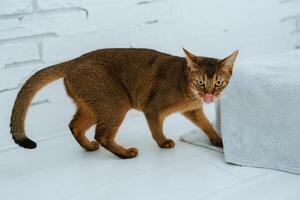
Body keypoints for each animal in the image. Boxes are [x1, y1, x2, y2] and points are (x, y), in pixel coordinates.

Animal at [10, 47, 238, 159]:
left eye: (218, 83)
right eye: (200, 82)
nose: (209, 94)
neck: (185, 84)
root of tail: (72, 62)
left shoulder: (194, 111)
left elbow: (206, 125)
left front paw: (218, 140)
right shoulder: (152, 108)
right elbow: (156, 129)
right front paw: (163, 142)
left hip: (94, 107)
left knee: (75, 126)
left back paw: (89, 147)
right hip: (116, 104)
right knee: (102, 135)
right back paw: (125, 153)